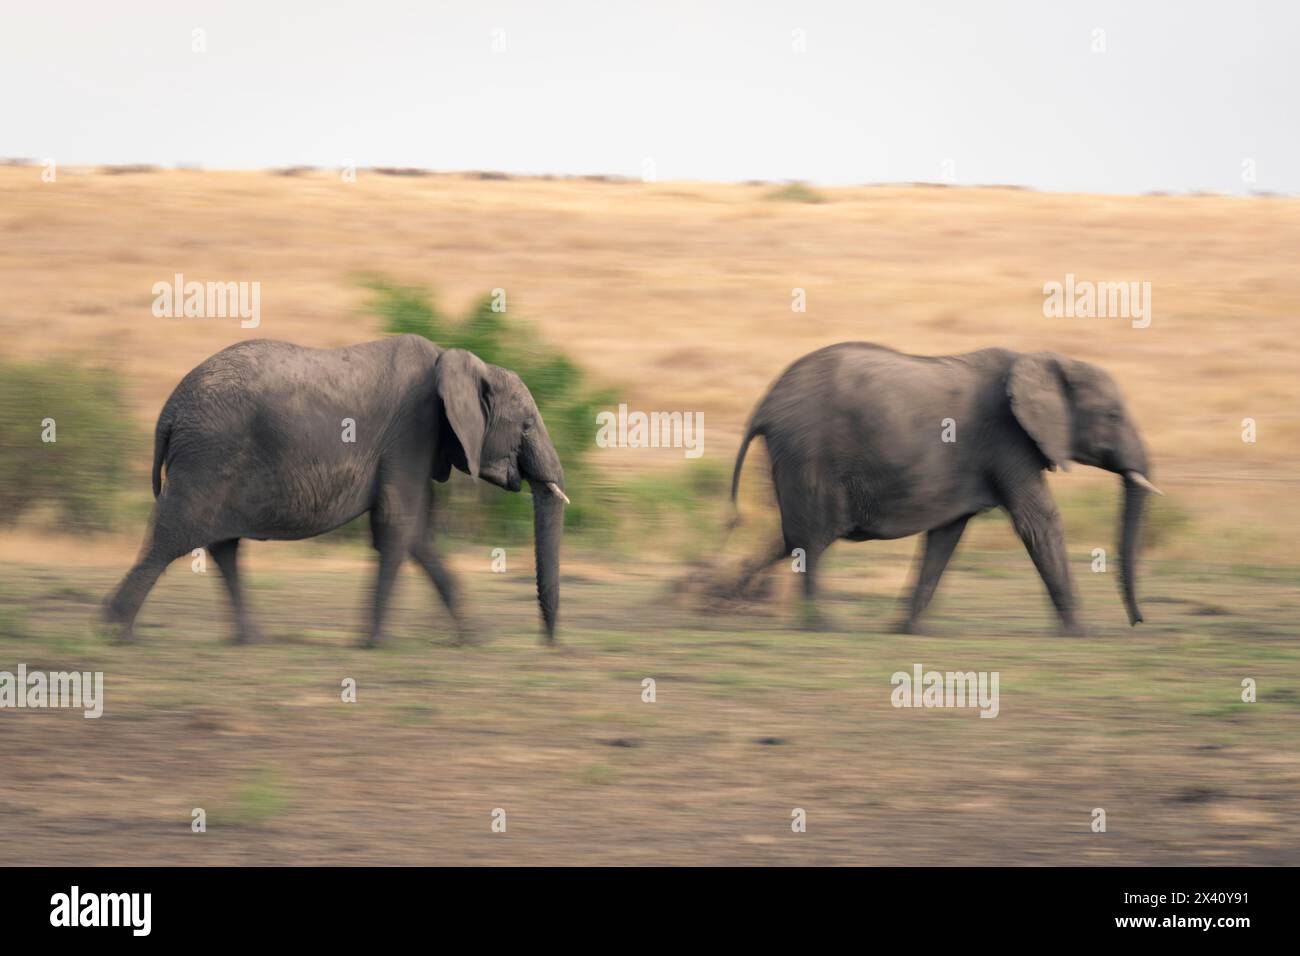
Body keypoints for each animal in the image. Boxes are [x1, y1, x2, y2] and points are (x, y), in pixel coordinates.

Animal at [103, 335, 569, 646]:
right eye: (527, 425)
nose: (548, 645)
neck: (461, 362)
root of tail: (168, 411)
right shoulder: (412, 430)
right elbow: (398, 524)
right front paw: (374, 642)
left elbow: (417, 532)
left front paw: (474, 639)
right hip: (208, 454)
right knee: (176, 534)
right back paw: (113, 629)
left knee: (222, 545)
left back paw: (250, 639)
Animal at [727, 343, 1161, 634]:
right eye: (1113, 415)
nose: (1138, 622)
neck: (1046, 358)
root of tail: (765, 405)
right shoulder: (1010, 440)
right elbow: (1039, 522)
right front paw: (1079, 632)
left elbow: (946, 536)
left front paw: (907, 630)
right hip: (810, 453)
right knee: (812, 540)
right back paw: (820, 624)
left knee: (791, 536)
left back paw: (729, 594)